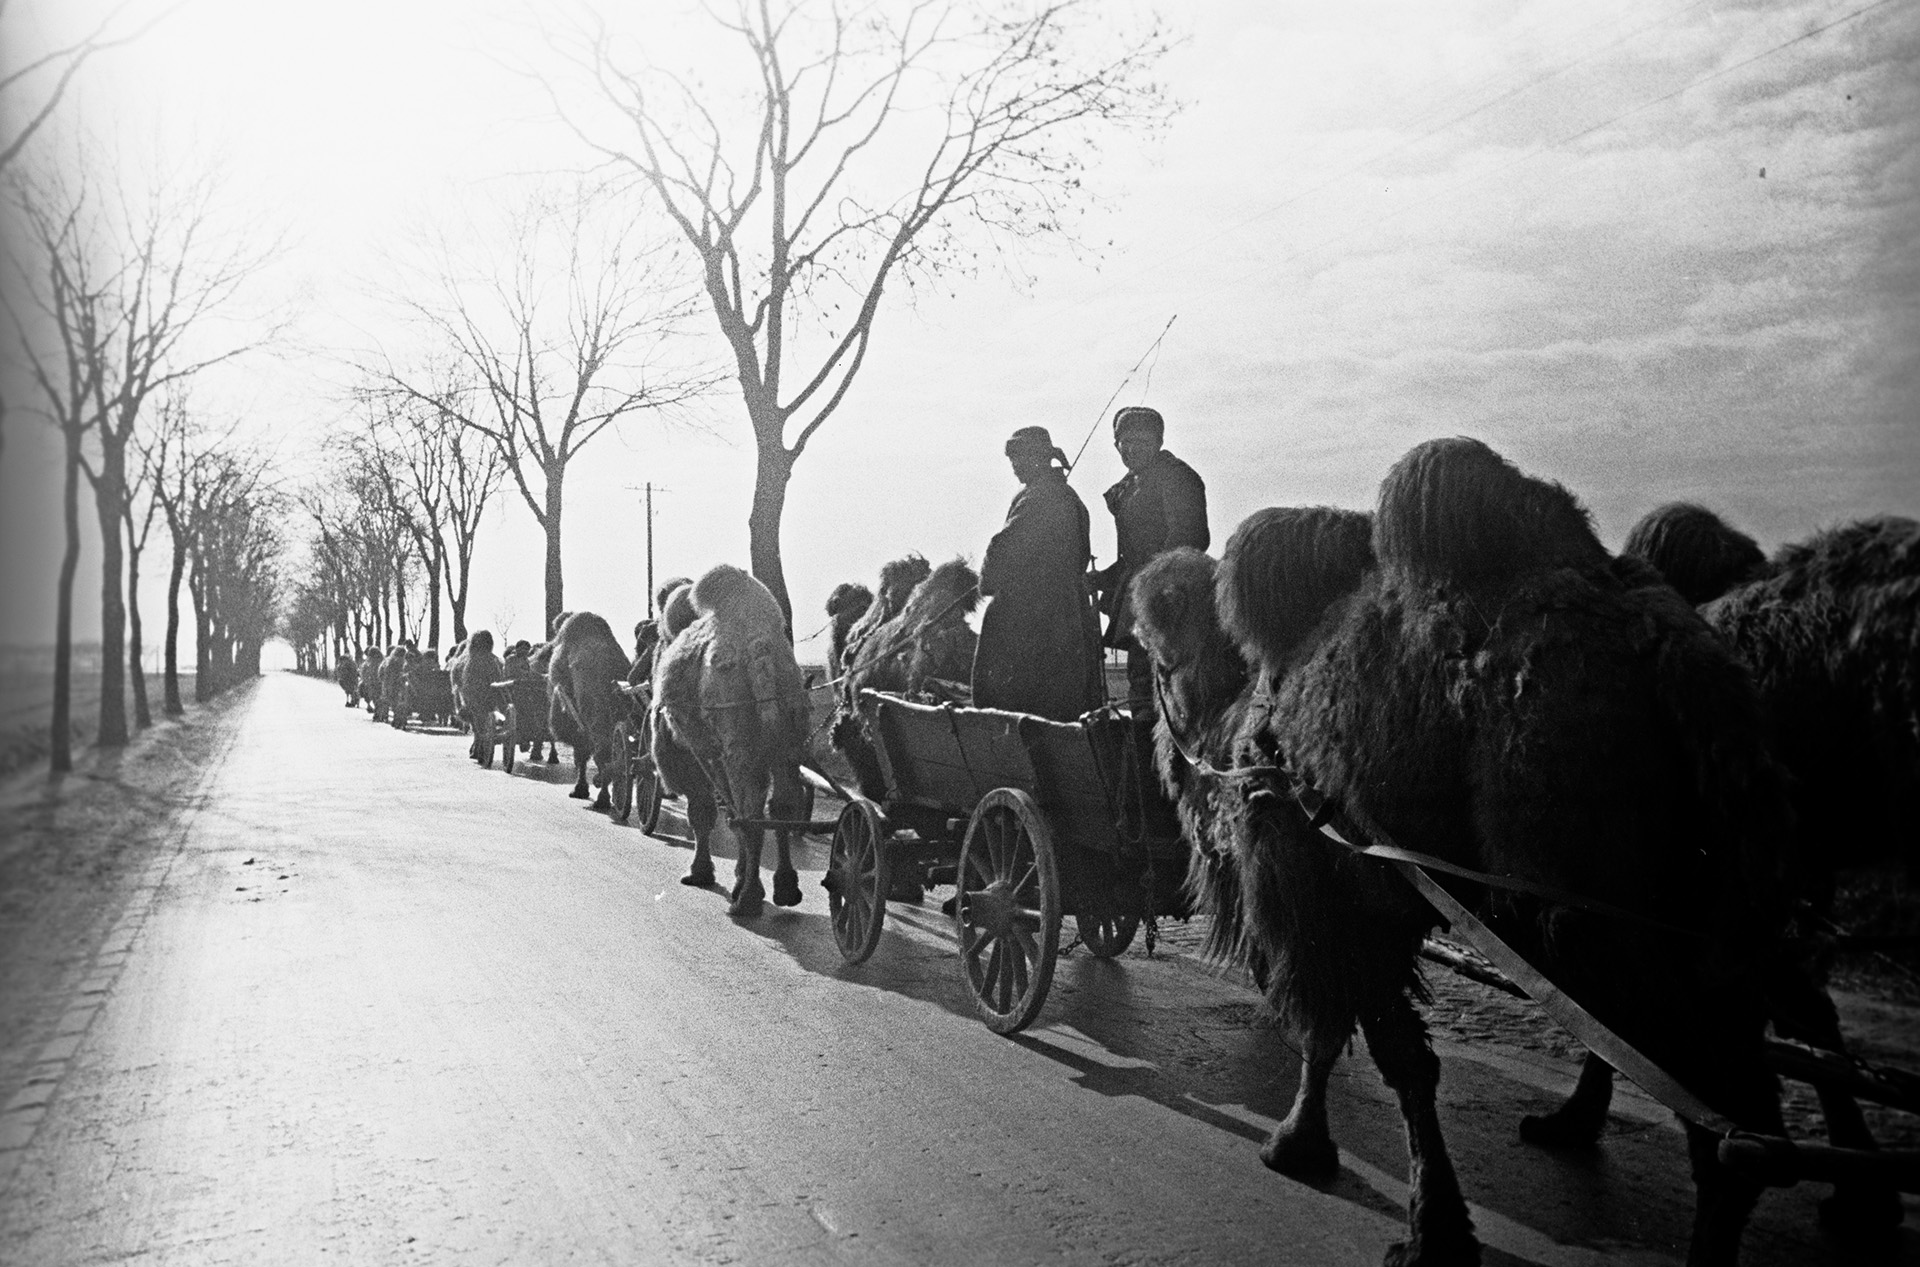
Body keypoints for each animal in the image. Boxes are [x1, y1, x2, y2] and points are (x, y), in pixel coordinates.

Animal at [545, 610, 633, 806]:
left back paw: (602, 795)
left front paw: (580, 790)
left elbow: (581, 754)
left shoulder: (574, 719)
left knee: (602, 749)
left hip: (592, 710)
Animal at [652, 560, 810, 909]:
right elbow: (729, 812)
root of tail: (759, 645)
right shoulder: (717, 752)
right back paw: (785, 888)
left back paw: (747, 900)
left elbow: (703, 810)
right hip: (787, 737)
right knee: (780, 807)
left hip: (737, 740)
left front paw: (700, 873)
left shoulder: (695, 752)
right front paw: (737, 876)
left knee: (749, 814)